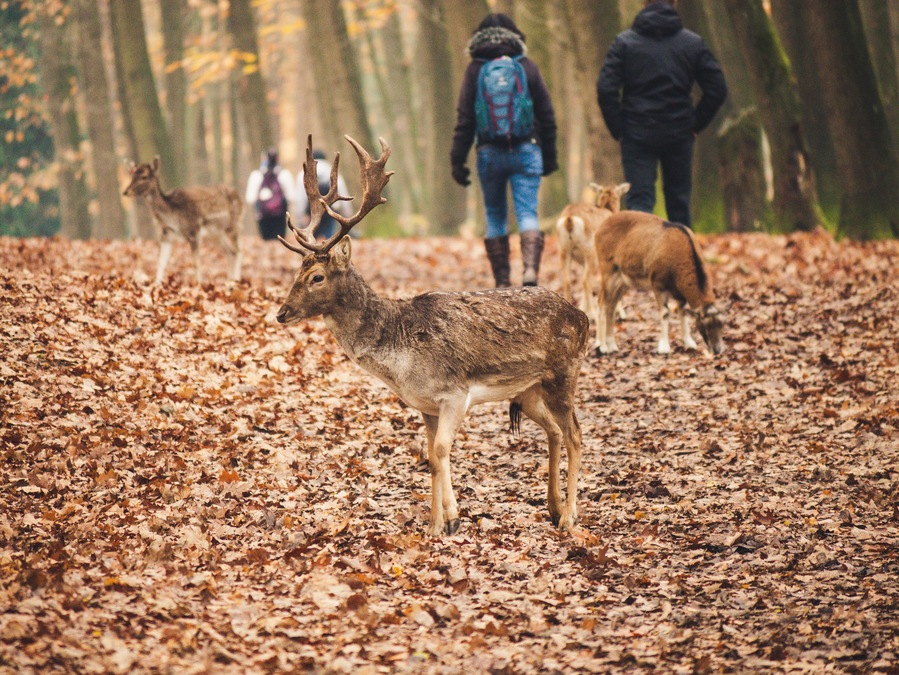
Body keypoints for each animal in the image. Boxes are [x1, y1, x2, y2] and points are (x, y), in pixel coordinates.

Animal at [276, 135, 590, 537]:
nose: (282, 312)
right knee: (554, 431)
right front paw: (433, 526)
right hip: (528, 390)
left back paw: (569, 516)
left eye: (316, 277)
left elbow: (441, 452)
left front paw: (452, 519)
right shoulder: (425, 406)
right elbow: (429, 457)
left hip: (563, 374)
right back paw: (552, 508)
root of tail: (582, 317)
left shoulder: (454, 393)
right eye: (296, 272)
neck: (401, 360)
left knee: (575, 434)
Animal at [556, 182, 630, 321]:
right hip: (590, 253)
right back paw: (593, 314)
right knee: (585, 281)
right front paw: (622, 314)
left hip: (564, 252)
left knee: (568, 281)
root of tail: (569, 219)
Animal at [592, 211, 724, 356]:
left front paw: (690, 344)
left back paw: (612, 346)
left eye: (721, 325)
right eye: (705, 326)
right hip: (608, 272)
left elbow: (682, 312)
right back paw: (601, 347)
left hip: (622, 282)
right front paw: (664, 347)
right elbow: (665, 313)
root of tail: (600, 227)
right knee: (601, 303)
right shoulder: (658, 283)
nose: (717, 350)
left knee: (611, 306)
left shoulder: (680, 293)